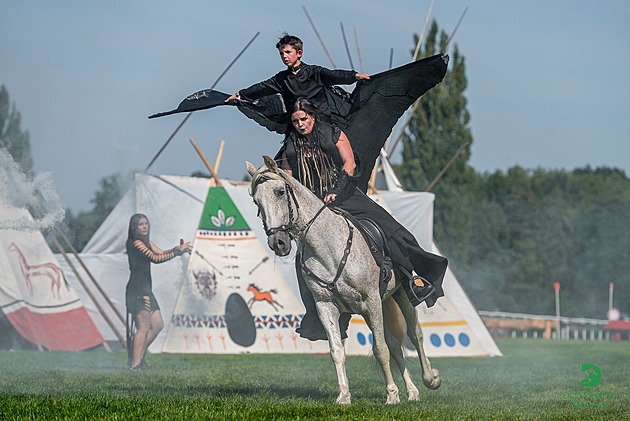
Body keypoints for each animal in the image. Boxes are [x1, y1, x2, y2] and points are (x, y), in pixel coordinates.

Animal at [244, 157, 442, 404]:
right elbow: (338, 351)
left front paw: (391, 395)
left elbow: (381, 350)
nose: (278, 242)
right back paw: (412, 390)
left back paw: (429, 379)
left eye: (280, 192)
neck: (328, 249)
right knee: (396, 345)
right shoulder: (327, 307)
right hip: (376, 308)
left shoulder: (371, 301)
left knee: (415, 335)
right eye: (256, 201)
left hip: (400, 295)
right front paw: (344, 396)